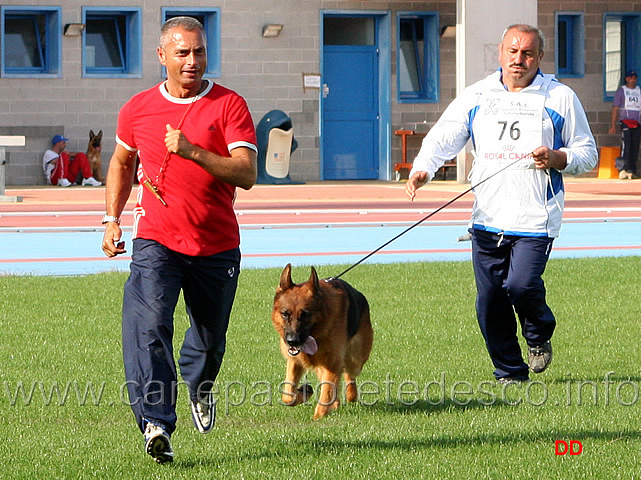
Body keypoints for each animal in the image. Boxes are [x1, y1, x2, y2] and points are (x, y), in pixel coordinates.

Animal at [272, 262, 372, 420]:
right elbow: (287, 396)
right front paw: (304, 393)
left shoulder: (332, 362)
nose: (292, 341)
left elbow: (326, 392)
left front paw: (318, 417)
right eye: (285, 314)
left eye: (305, 315)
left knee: (348, 372)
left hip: (355, 361)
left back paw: (351, 395)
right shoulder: (295, 361)